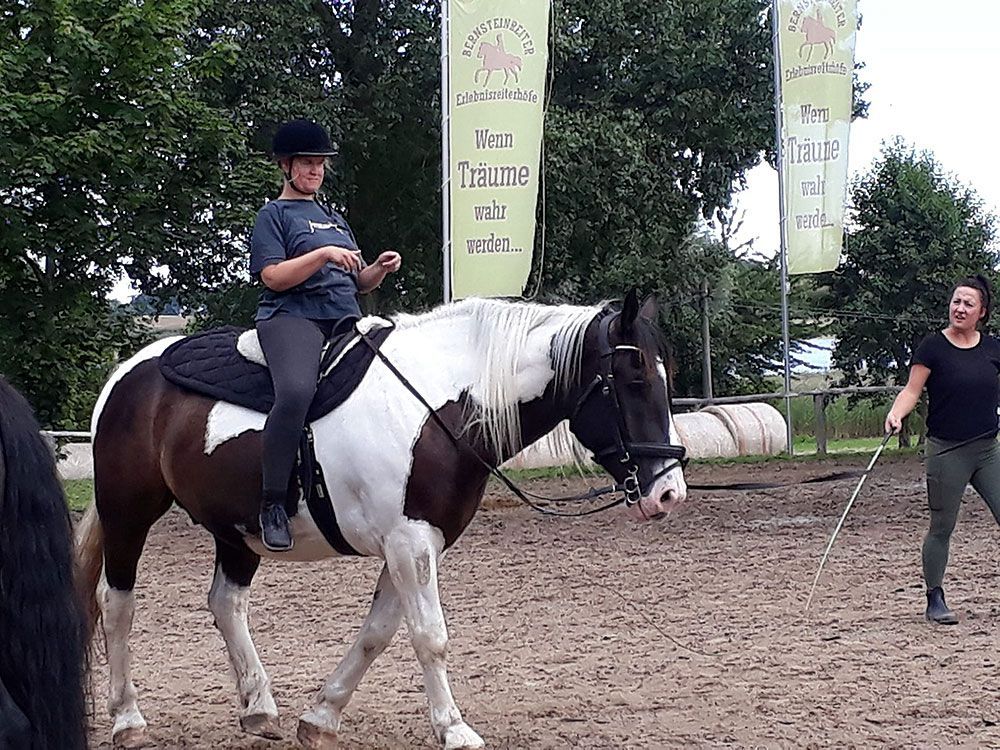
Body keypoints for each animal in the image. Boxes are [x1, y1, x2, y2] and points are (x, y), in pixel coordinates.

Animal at [75, 291, 688, 750]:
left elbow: (378, 633)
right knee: (117, 604)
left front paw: (321, 717)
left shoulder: (417, 543)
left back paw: (260, 707)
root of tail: (127, 373)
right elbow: (429, 636)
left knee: (226, 603)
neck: (440, 406)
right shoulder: (409, 542)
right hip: (129, 511)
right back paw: (128, 719)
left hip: (236, 531)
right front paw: (454, 729)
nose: (669, 492)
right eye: (634, 380)